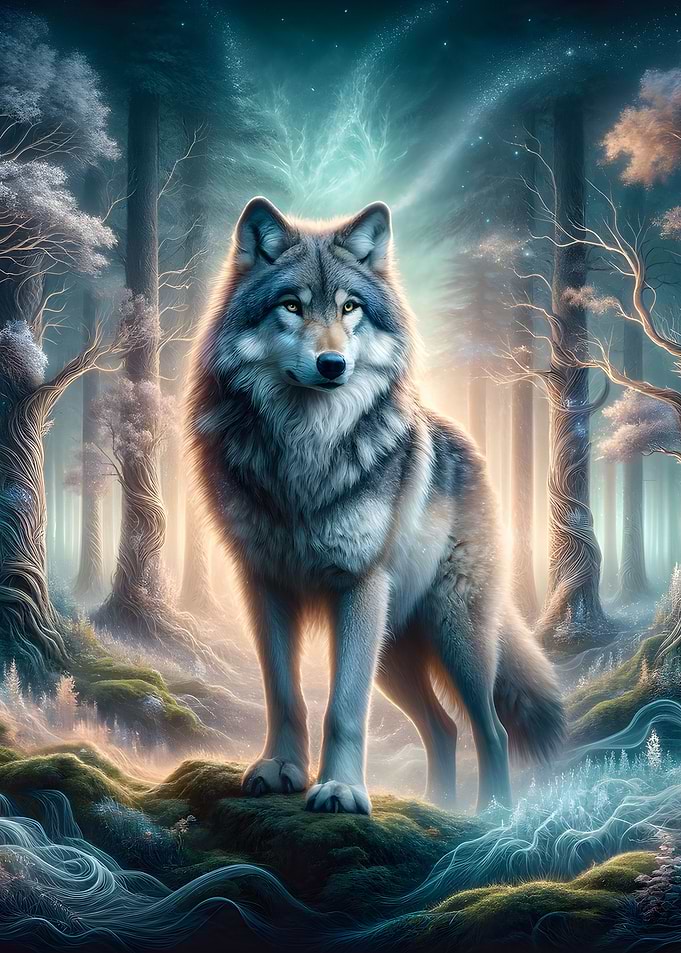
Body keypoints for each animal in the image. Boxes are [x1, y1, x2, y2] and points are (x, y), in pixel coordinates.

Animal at [186, 196, 565, 815]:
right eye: (291, 305)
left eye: (350, 307)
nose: (332, 364)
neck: (306, 449)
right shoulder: (264, 585)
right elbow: (284, 693)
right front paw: (280, 769)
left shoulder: (357, 586)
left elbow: (344, 708)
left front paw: (340, 790)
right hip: (394, 651)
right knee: (444, 728)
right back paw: (439, 807)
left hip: (452, 635)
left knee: (491, 729)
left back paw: (493, 816)